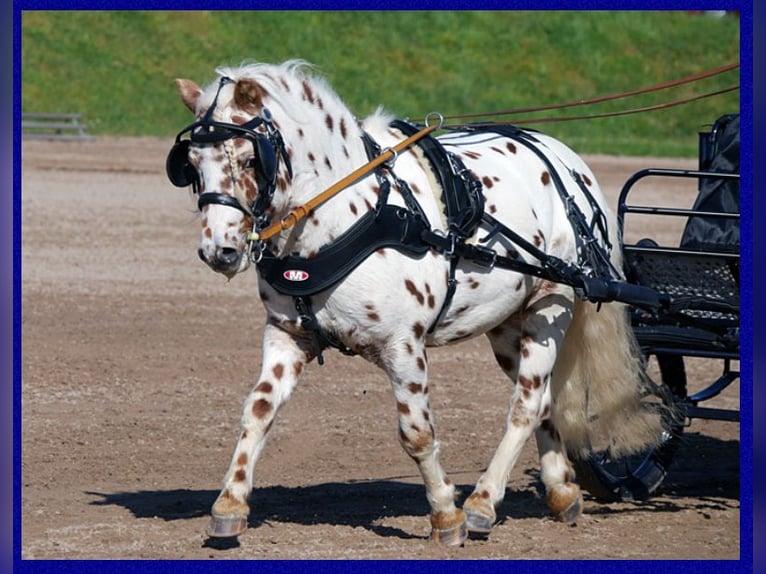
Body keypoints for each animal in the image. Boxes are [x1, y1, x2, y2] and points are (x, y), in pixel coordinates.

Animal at [170, 60, 664, 552]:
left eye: (249, 158)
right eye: (191, 165)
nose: (219, 251)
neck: (347, 216)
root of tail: (567, 160)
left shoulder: (402, 345)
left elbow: (417, 433)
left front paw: (446, 515)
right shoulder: (287, 335)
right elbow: (258, 410)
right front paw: (230, 504)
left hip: (551, 305)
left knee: (524, 406)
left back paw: (483, 502)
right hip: (507, 324)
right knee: (543, 401)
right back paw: (561, 490)